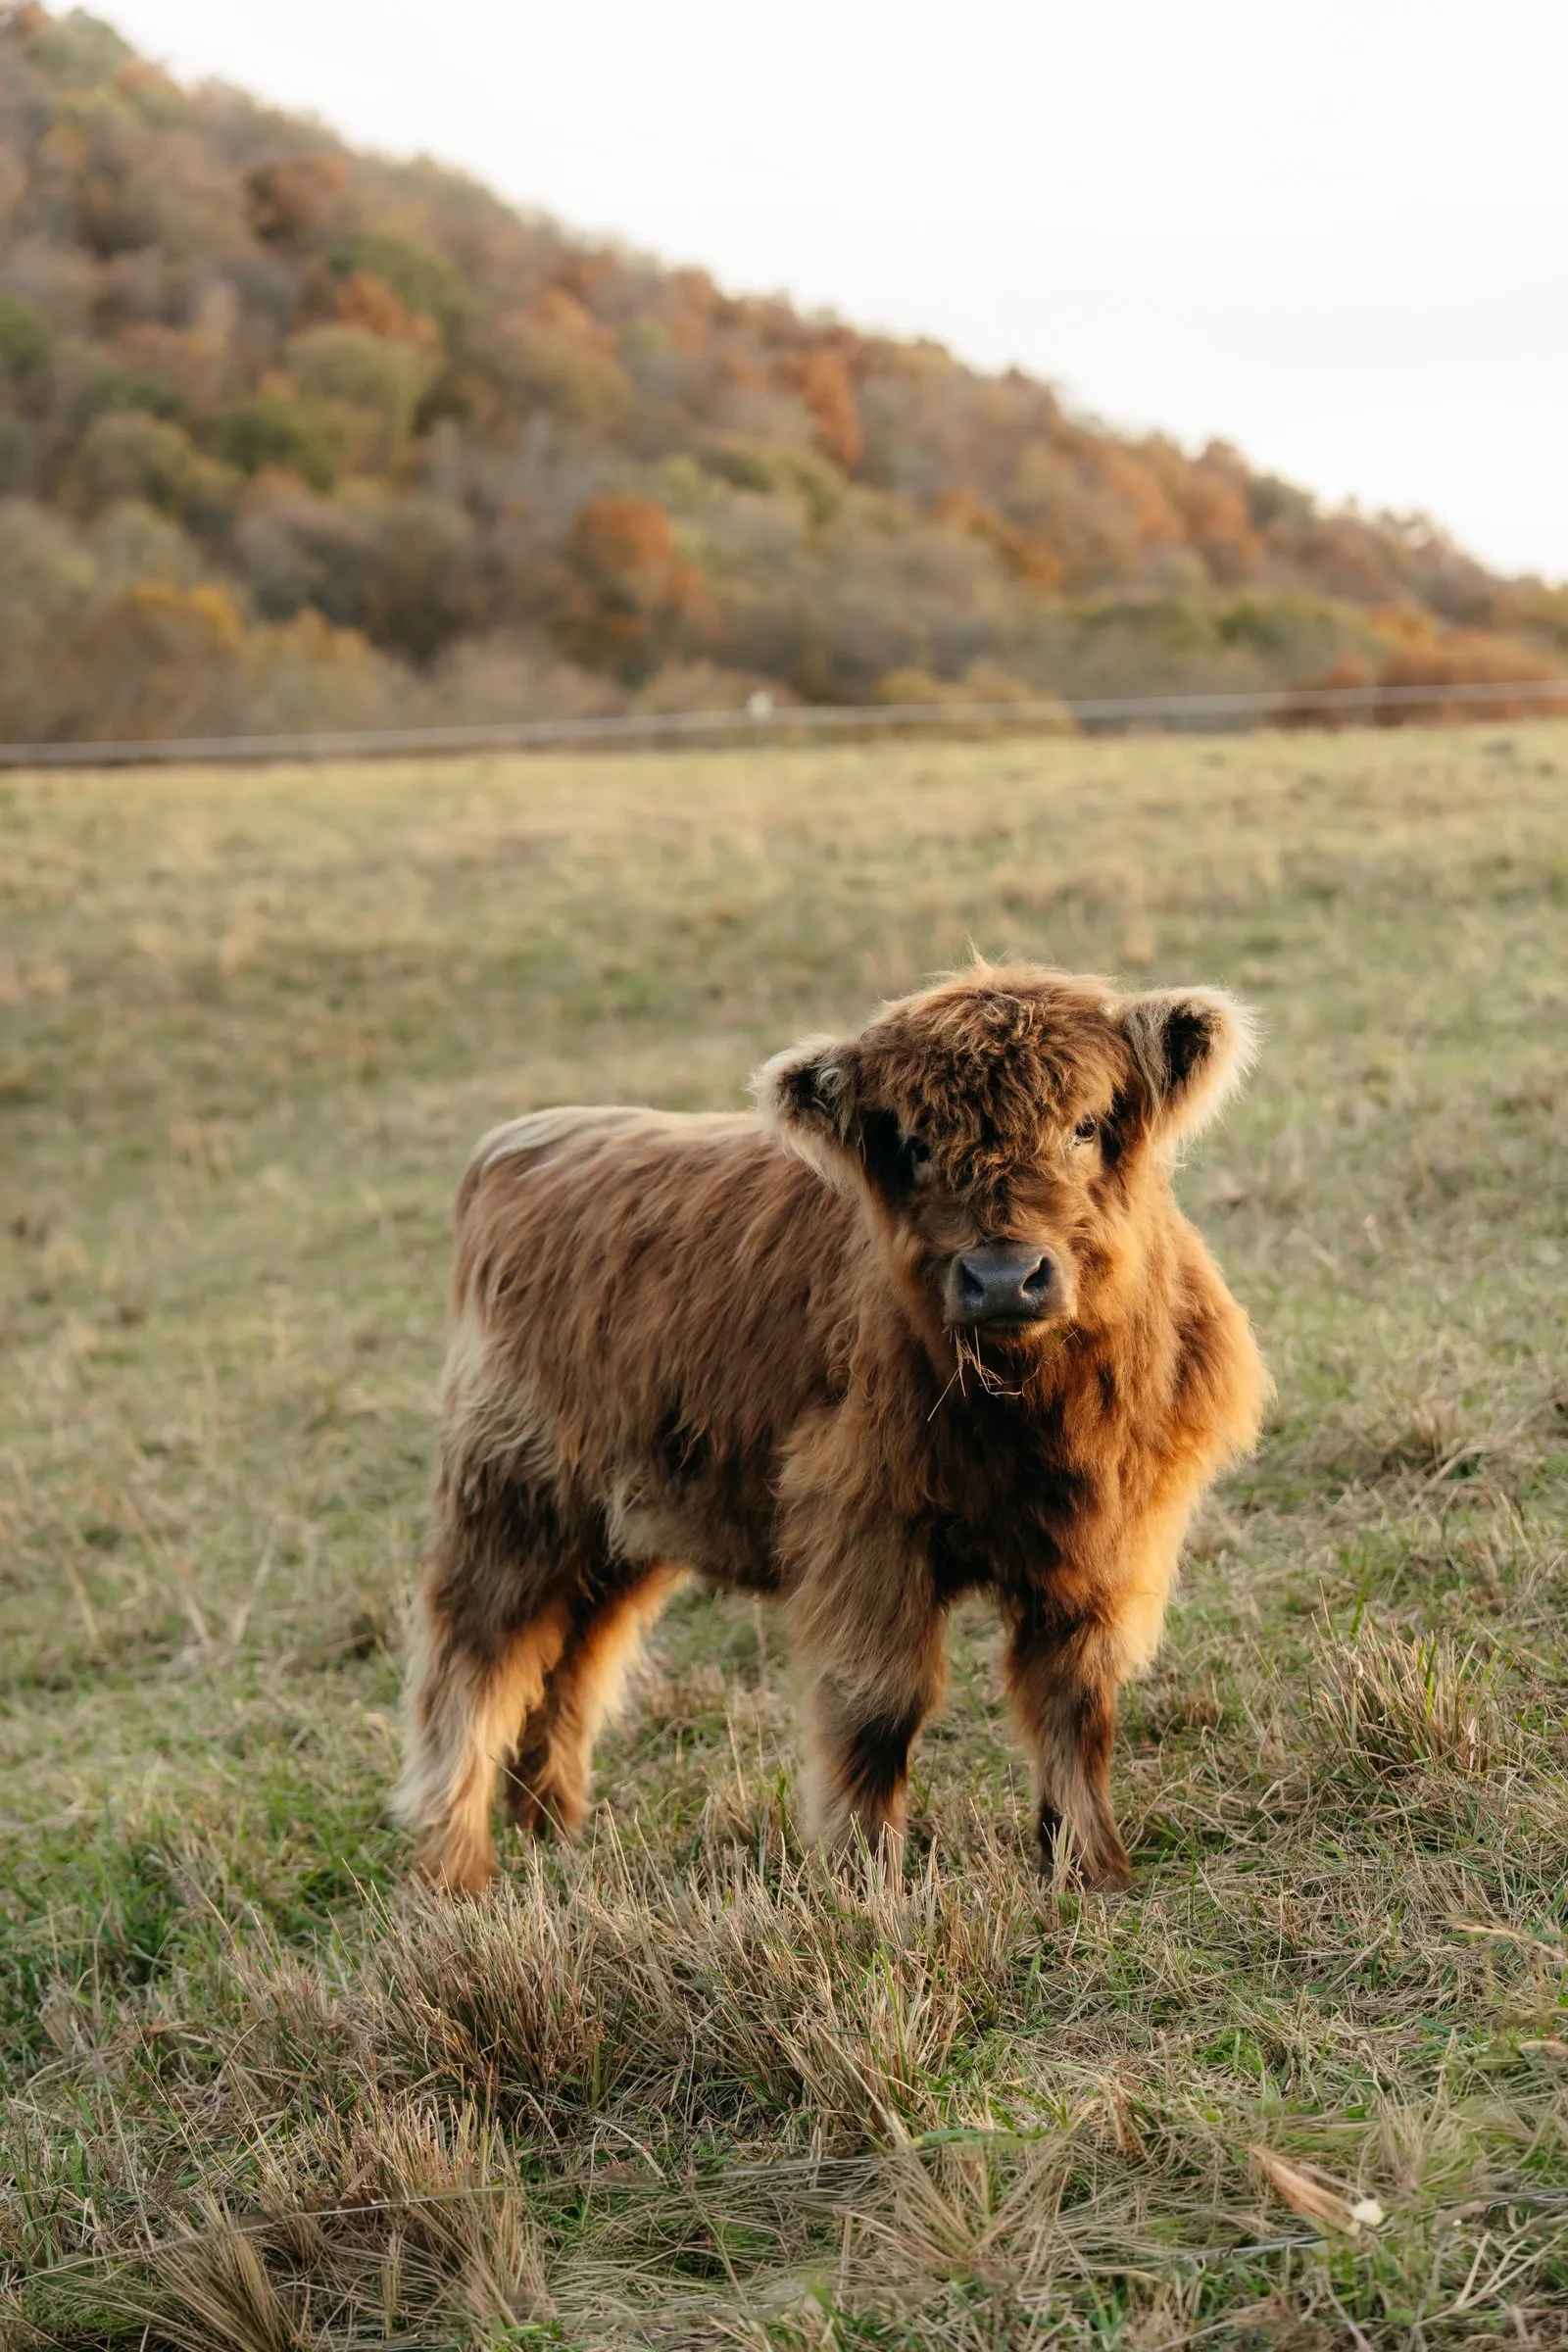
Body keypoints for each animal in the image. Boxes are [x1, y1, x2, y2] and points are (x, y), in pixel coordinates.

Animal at [393, 964, 1269, 1894]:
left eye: (1086, 1126)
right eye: (916, 1145)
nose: (1002, 1278)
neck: (1040, 1416)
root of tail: (527, 1137)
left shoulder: (1112, 1544)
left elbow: (1075, 1700)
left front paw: (1088, 1864)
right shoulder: (865, 1528)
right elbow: (880, 1704)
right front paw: (863, 1874)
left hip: (616, 1525)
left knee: (570, 1662)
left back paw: (550, 1831)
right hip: (510, 1502)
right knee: (472, 1667)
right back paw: (456, 1867)